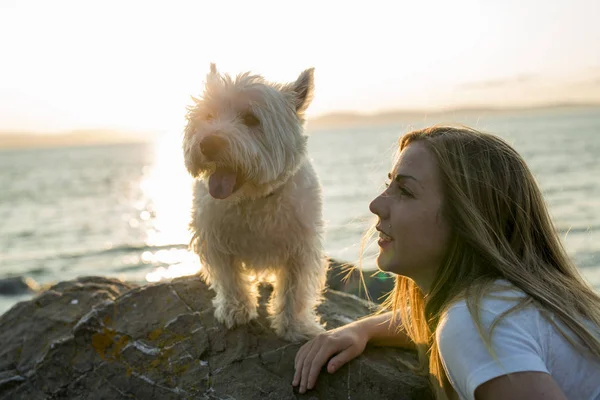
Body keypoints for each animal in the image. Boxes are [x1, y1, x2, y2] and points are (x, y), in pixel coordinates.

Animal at [185, 64, 330, 340]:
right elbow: (230, 279)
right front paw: (235, 310)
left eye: (251, 119)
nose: (208, 143)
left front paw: (295, 327)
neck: (253, 199)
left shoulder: (300, 247)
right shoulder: (216, 240)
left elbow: (294, 288)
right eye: (208, 115)